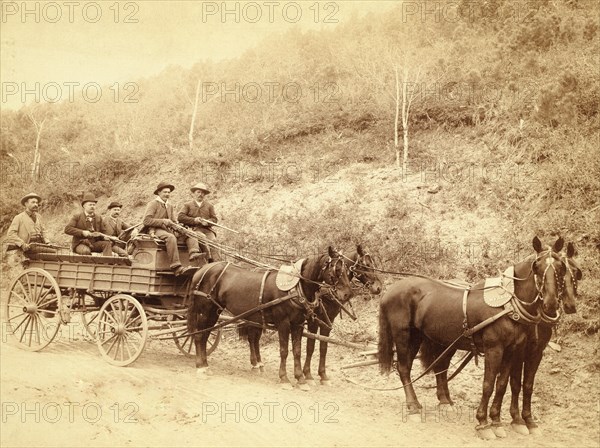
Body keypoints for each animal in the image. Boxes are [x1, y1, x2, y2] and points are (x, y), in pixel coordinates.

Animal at [189, 245, 356, 388]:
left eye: (348, 271)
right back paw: (200, 367)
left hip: (214, 312)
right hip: (205, 311)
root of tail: (201, 270)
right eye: (337, 269)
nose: (348, 294)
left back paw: (206, 364)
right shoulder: (284, 323)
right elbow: (284, 350)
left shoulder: (298, 324)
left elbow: (298, 351)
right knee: (199, 336)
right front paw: (285, 378)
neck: (295, 288)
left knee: (206, 336)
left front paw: (301, 379)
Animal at [302, 245, 382, 384]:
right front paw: (307, 374)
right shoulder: (314, 321)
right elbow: (310, 346)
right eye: (366, 265)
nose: (378, 288)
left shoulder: (328, 322)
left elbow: (323, 347)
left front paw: (323, 375)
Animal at [380, 236, 568, 440]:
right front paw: (483, 423)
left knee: (439, 368)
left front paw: (497, 421)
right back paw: (413, 406)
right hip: (405, 336)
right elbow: (488, 385)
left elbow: (503, 384)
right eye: (537, 266)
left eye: (561, 267)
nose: (551, 303)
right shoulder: (495, 349)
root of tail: (389, 290)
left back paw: (444, 402)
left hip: (435, 339)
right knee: (404, 368)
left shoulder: (512, 350)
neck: (508, 306)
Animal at [490, 243, 584, 436]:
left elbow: (527, 384)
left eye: (575, 272)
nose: (570, 306)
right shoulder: (519, 351)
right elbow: (515, 383)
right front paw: (517, 419)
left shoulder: (537, 351)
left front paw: (528, 419)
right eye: (563, 272)